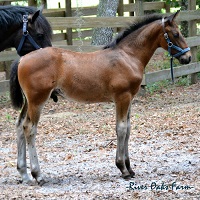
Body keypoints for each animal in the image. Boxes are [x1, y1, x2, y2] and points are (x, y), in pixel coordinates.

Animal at [9, 11, 192, 186]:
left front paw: (129, 168)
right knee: (29, 129)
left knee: (19, 126)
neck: (128, 56)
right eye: (176, 34)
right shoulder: (122, 97)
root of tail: (22, 59)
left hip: (29, 102)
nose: (188, 57)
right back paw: (37, 175)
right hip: (37, 101)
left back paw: (24, 174)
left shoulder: (130, 99)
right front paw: (122, 168)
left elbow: (128, 128)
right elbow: (121, 129)